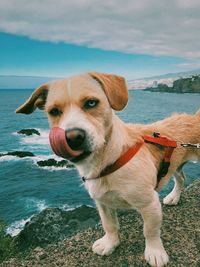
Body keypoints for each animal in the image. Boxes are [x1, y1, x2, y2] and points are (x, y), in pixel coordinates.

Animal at [16, 72, 200, 266]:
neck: (108, 160)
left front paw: (155, 251)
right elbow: (109, 224)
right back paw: (174, 197)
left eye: (91, 103)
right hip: (175, 163)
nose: (72, 138)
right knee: (181, 178)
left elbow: (150, 231)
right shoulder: (102, 202)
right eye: (54, 111)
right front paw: (110, 243)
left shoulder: (149, 204)